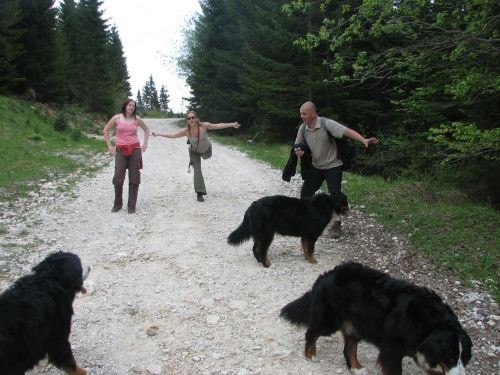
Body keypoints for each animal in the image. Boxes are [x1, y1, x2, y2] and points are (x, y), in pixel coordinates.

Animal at [282, 262, 472, 375]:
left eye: (464, 358)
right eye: (450, 357)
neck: (429, 325)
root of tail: (327, 275)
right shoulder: (392, 350)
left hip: (356, 324)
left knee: (349, 348)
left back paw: (357, 368)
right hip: (330, 320)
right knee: (312, 332)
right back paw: (310, 354)